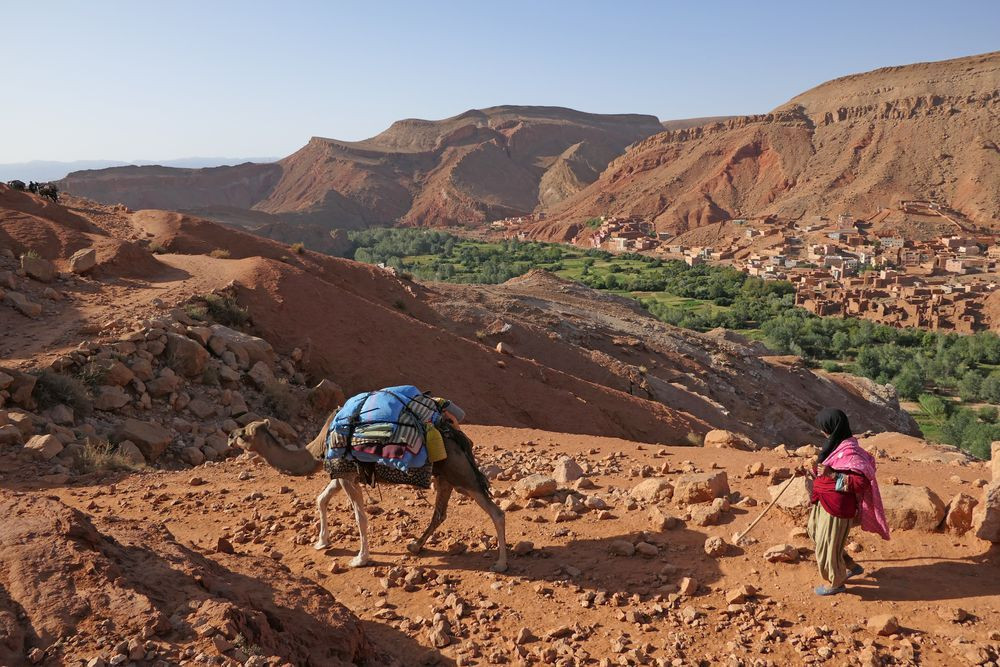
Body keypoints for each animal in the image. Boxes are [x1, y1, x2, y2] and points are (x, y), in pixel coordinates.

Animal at [229, 414, 508, 572]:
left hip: (460, 474)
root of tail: (458, 437)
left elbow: (359, 516)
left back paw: (501, 564)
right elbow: (321, 500)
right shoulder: (340, 473)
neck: (318, 448)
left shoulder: (346, 472)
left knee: (496, 512)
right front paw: (321, 542)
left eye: (244, 433)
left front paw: (360, 559)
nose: (231, 436)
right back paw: (414, 545)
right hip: (445, 477)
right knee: (440, 513)